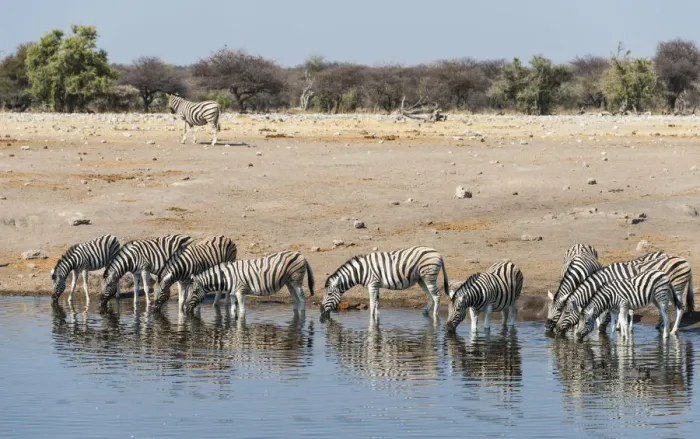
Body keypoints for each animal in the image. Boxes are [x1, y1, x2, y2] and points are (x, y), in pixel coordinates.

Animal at [184, 251, 314, 316]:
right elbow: (233, 310)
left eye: (194, 291)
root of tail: (301, 254)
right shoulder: (233, 294)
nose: (185, 309)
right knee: (295, 298)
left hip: (296, 280)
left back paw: (302, 315)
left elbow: (242, 310)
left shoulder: (240, 292)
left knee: (302, 298)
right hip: (289, 282)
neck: (227, 278)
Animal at [319, 246, 449, 321]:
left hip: (429, 277)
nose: (321, 312)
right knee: (430, 297)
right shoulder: (376, 285)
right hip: (421, 279)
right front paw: (376, 320)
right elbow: (377, 304)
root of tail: (438, 254)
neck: (361, 271)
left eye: (329, 294)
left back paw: (435, 317)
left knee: (437, 296)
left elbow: (372, 305)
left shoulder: (372, 284)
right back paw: (425, 313)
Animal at [557, 253, 692, 335]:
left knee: (680, 308)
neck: (603, 279)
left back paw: (673, 330)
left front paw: (617, 328)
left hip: (676, 289)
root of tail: (685, 260)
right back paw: (661, 325)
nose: (557, 329)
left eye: (566, 312)